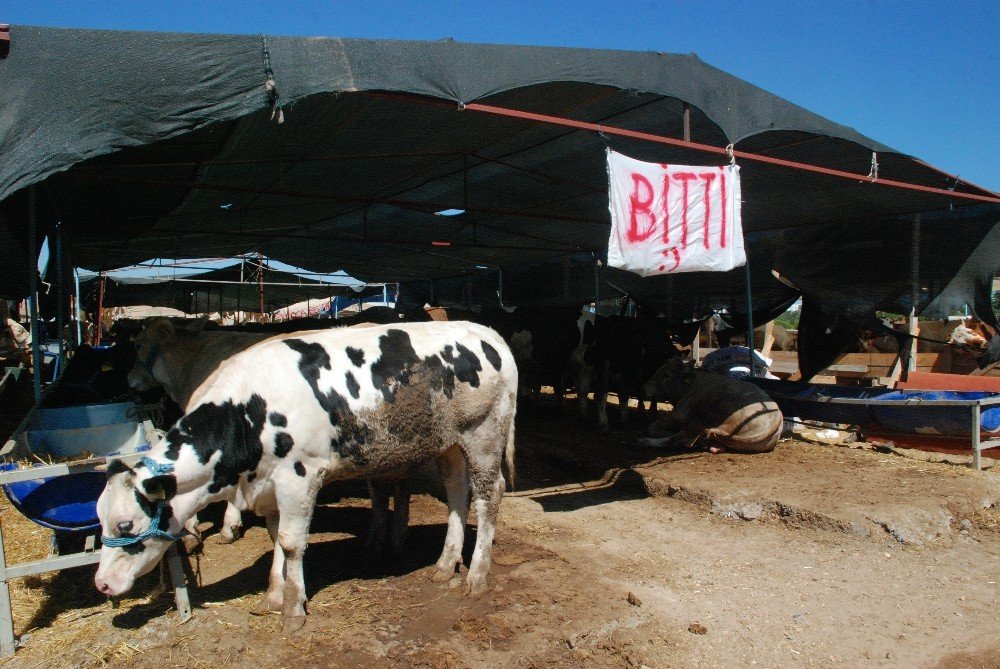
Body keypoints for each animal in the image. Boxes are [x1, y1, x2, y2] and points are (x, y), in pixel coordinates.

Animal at [95, 320, 516, 628]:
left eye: (126, 525)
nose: (101, 584)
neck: (249, 411)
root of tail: (486, 332)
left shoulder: (299, 478)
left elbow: (292, 542)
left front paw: (293, 607)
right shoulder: (266, 486)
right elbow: (274, 538)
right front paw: (274, 592)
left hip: (484, 433)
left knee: (488, 494)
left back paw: (476, 574)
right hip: (449, 442)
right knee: (457, 492)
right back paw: (445, 564)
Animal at [640, 358, 780, 452]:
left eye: (667, 375)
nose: (644, 388)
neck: (692, 384)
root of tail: (776, 419)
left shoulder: (680, 415)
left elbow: (652, 427)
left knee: (681, 439)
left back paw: (645, 441)